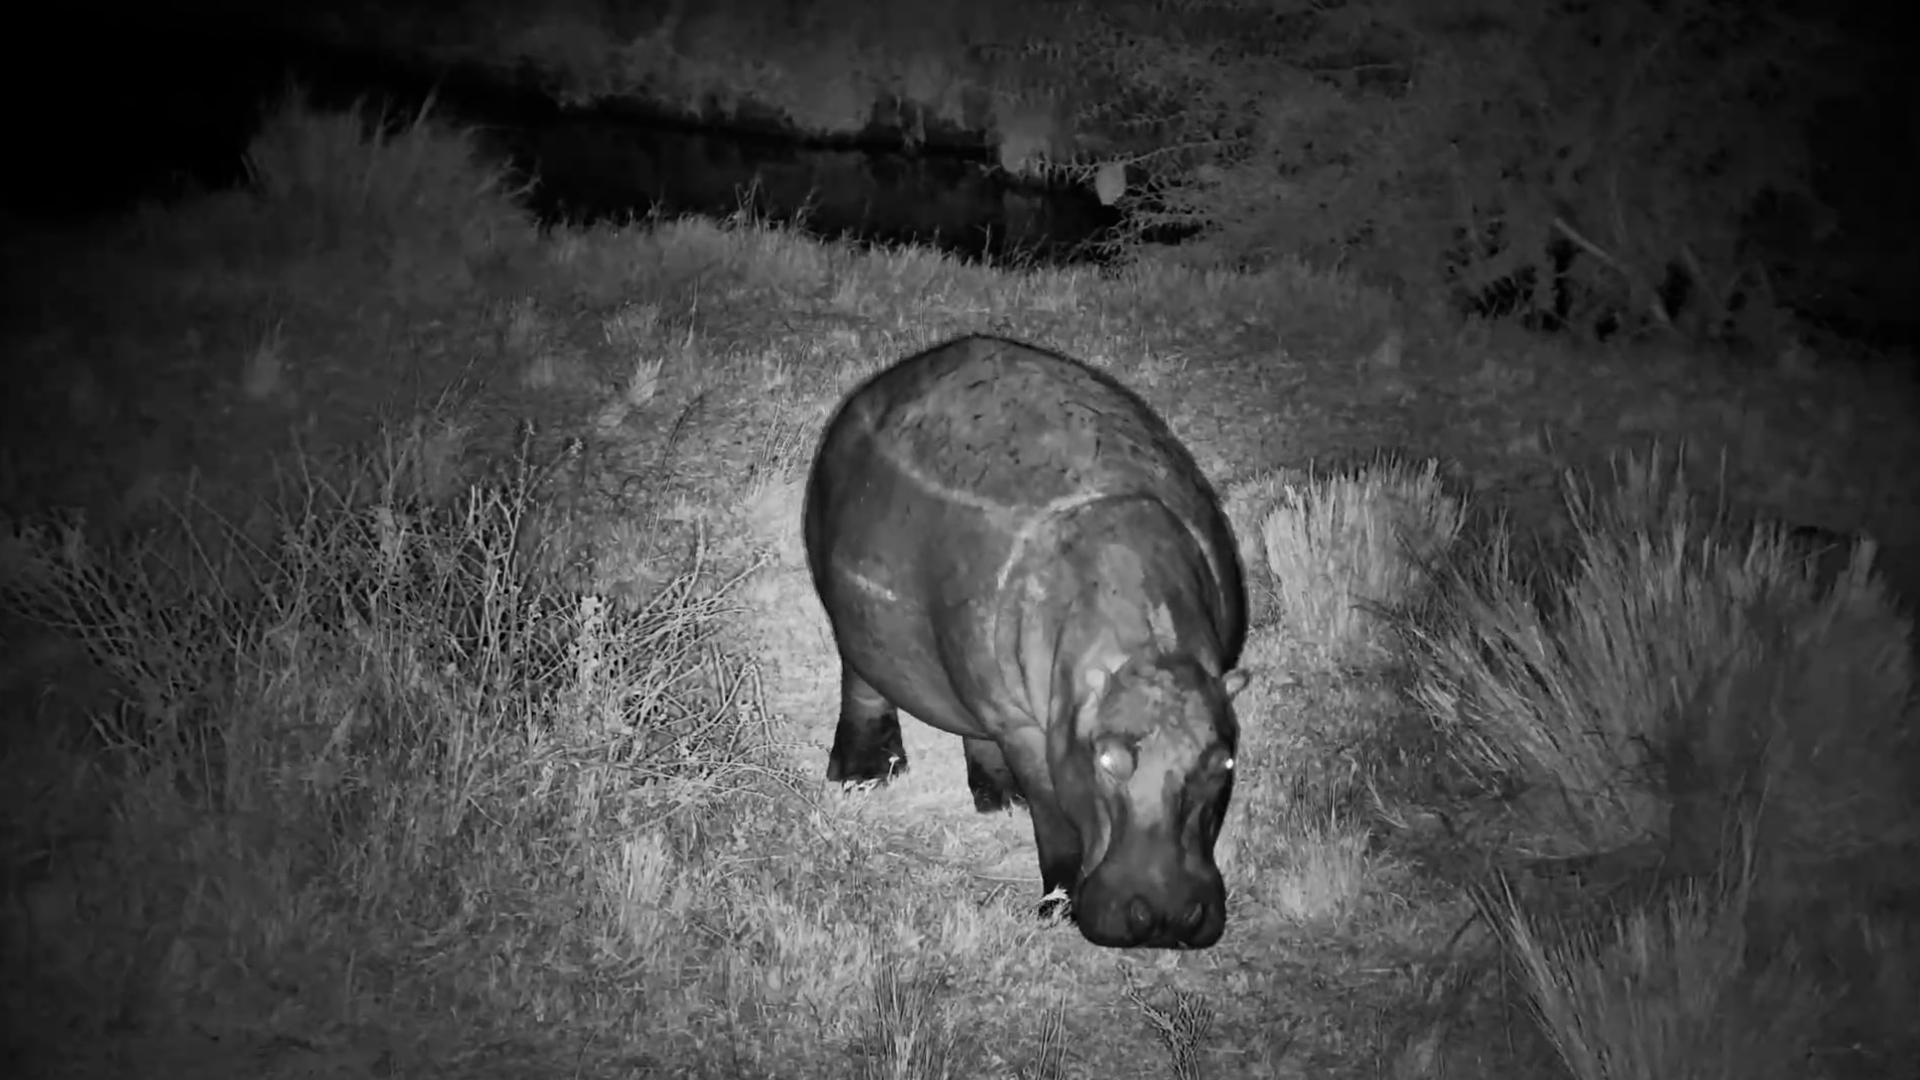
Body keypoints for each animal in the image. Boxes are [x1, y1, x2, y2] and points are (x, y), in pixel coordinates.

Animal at [803, 334, 1249, 949]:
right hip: (859, 617)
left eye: (1224, 761)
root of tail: (874, 387)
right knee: (862, 679)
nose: (1165, 918)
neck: (1147, 647)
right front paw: (1056, 908)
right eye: (1107, 758)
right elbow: (1054, 815)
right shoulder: (1032, 730)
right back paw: (866, 776)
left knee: (971, 724)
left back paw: (999, 798)